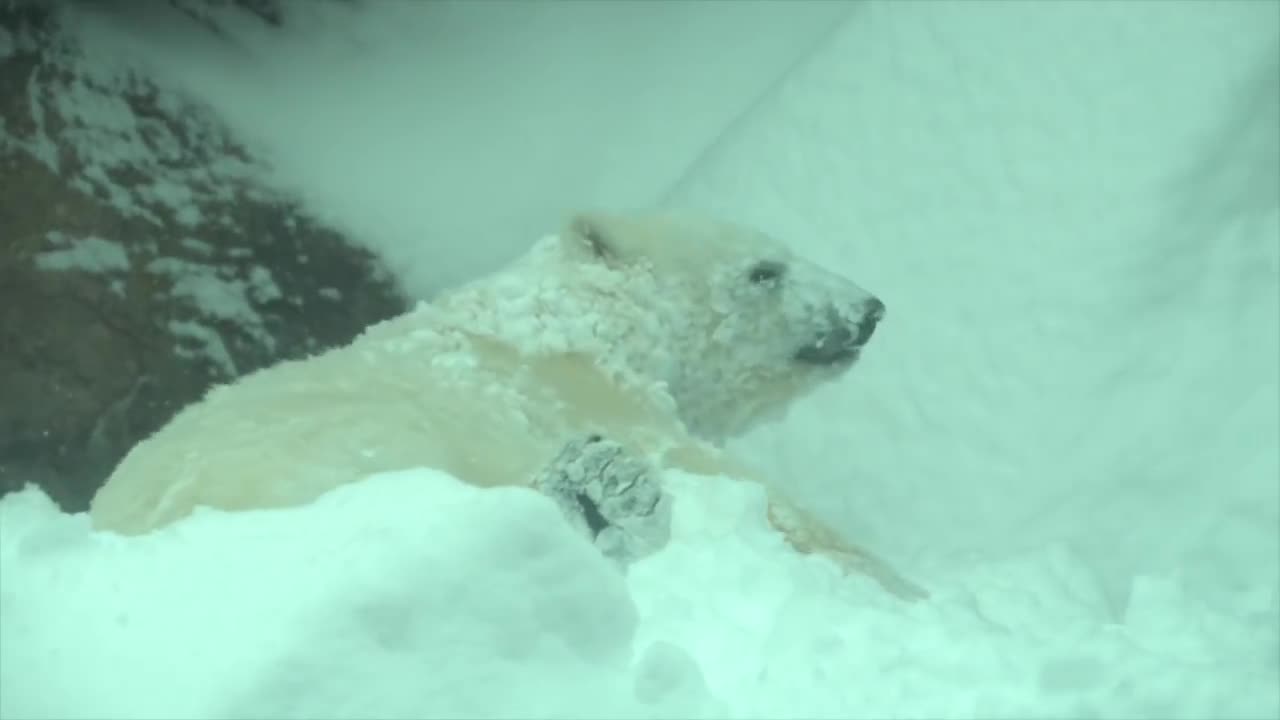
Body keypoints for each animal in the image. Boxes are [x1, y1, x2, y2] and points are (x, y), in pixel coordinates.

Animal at [92, 210, 931, 597]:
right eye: (765, 270)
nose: (869, 310)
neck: (570, 318)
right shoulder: (581, 392)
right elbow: (745, 490)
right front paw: (903, 585)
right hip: (323, 459)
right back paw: (600, 505)